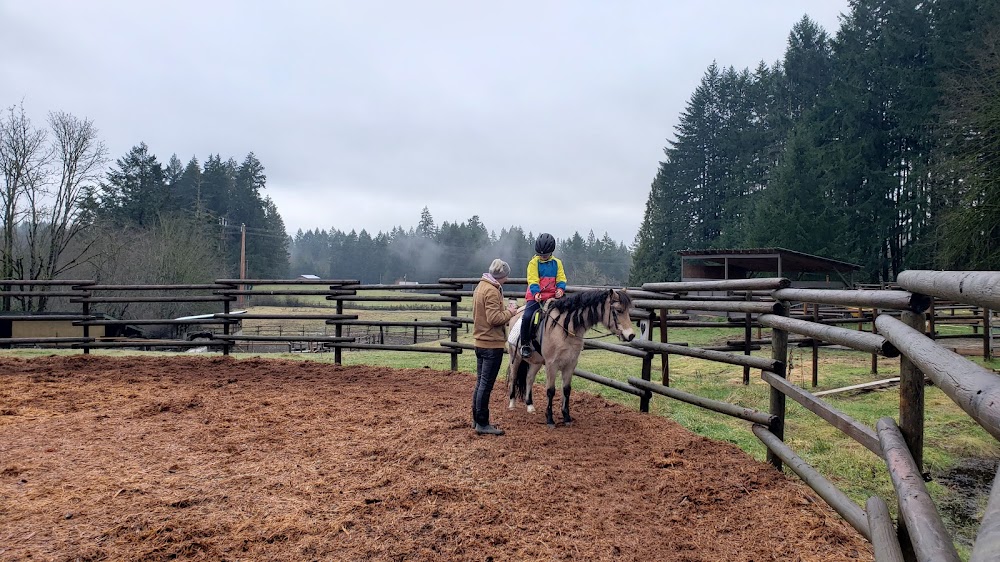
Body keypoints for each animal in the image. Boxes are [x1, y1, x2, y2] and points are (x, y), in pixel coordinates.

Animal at [504, 286, 636, 426]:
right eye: (618, 310)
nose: (631, 335)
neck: (564, 328)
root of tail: (516, 313)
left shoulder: (571, 364)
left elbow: (566, 390)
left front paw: (566, 417)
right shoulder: (551, 365)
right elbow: (550, 391)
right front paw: (550, 419)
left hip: (536, 361)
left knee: (529, 378)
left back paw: (530, 406)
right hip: (515, 358)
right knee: (513, 377)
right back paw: (512, 404)